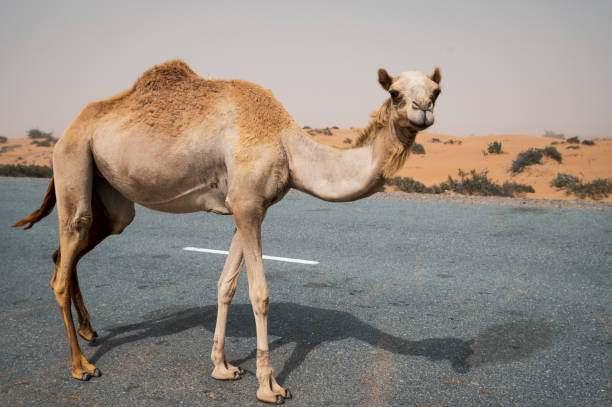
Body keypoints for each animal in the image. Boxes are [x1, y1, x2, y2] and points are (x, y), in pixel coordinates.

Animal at [14, 60, 442, 404]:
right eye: (395, 93)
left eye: (437, 91)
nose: (423, 110)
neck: (288, 146)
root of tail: (68, 128)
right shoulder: (247, 204)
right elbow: (259, 293)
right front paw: (269, 386)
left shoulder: (249, 206)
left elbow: (226, 285)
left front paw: (222, 366)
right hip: (73, 160)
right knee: (67, 252)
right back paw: (81, 366)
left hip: (112, 197)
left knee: (69, 251)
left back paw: (89, 331)